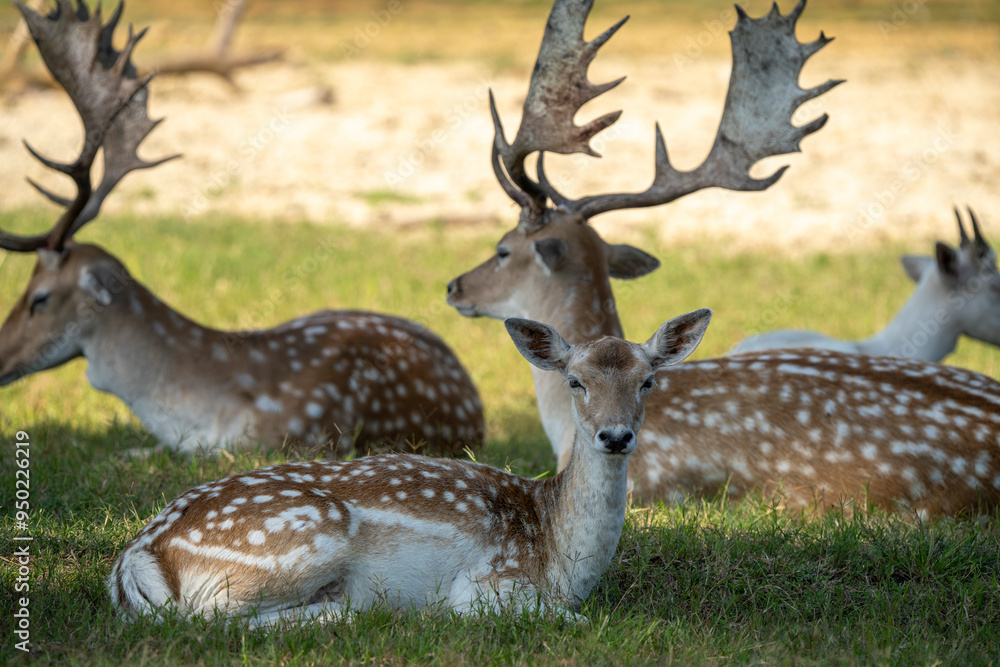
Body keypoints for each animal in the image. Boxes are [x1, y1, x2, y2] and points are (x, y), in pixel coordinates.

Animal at [108, 310, 712, 625]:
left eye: (648, 381)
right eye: (575, 381)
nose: (615, 435)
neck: (560, 560)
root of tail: (136, 558)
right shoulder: (494, 588)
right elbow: (574, 621)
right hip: (299, 540)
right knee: (203, 621)